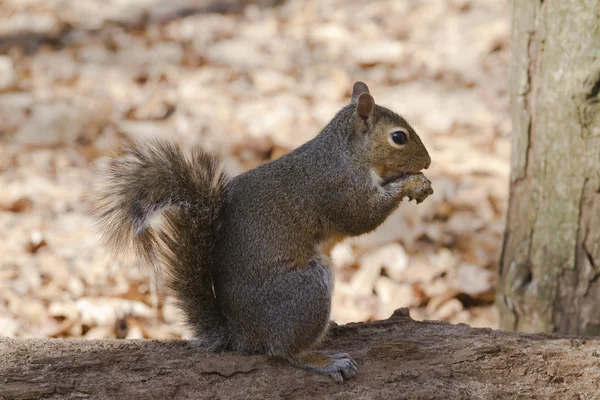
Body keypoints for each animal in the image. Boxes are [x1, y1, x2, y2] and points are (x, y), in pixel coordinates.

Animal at [92, 80, 432, 382]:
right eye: (398, 137)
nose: (428, 162)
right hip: (306, 289)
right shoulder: (338, 189)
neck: (346, 153)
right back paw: (323, 361)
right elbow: (363, 217)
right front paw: (410, 184)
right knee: (283, 350)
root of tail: (241, 335)